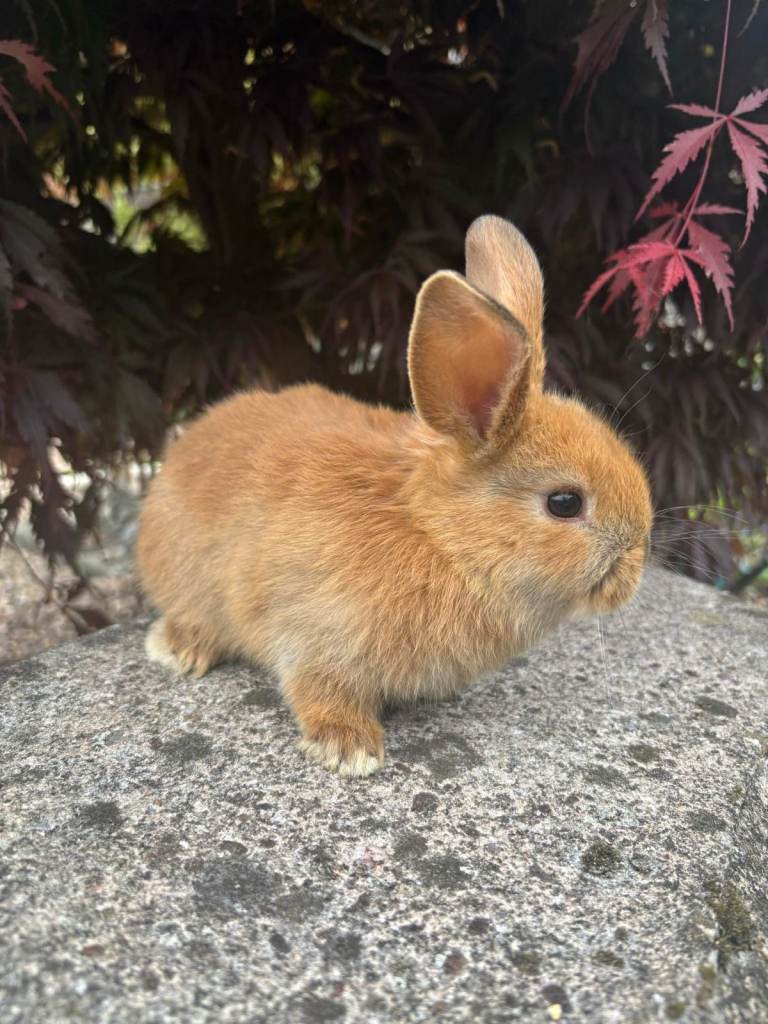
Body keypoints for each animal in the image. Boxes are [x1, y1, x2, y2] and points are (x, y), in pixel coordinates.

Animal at [137, 215, 652, 777]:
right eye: (565, 503)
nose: (635, 566)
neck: (438, 536)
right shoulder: (316, 634)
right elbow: (319, 690)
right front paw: (350, 750)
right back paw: (180, 650)